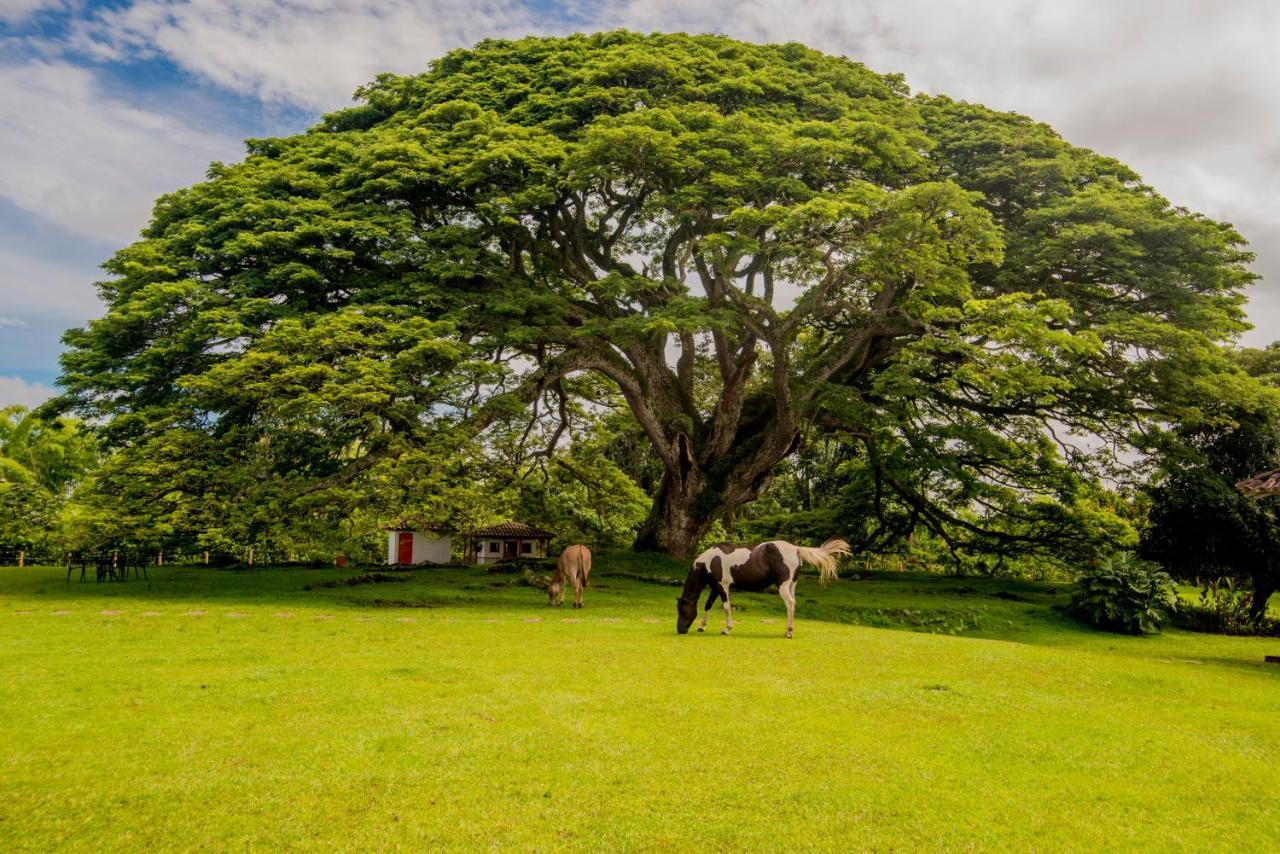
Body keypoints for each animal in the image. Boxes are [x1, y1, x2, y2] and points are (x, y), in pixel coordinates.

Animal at [680, 537, 849, 637]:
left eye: (682, 610)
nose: (680, 630)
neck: (711, 560)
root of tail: (796, 549)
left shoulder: (723, 586)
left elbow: (726, 607)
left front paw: (727, 629)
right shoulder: (716, 587)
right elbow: (708, 605)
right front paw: (702, 626)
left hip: (783, 587)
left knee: (790, 604)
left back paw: (789, 632)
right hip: (791, 586)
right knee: (793, 605)